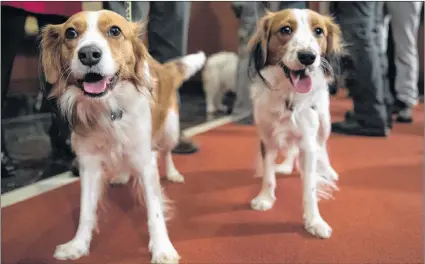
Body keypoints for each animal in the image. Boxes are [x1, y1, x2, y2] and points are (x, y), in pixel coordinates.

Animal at [41, 9, 205, 262]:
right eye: (71, 33)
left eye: (115, 31)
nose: (89, 54)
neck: (108, 107)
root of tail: (163, 68)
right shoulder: (89, 164)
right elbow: (86, 211)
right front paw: (78, 245)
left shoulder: (146, 162)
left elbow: (155, 211)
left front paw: (162, 248)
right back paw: (121, 176)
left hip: (169, 129)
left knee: (166, 152)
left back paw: (173, 173)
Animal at [248, 9, 342, 238]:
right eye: (285, 30)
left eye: (319, 31)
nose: (308, 57)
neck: (288, 96)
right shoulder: (267, 139)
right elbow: (268, 174)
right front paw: (265, 198)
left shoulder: (308, 143)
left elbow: (310, 188)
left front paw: (314, 221)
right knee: (291, 149)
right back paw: (286, 166)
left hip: (324, 124)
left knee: (322, 147)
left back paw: (328, 170)